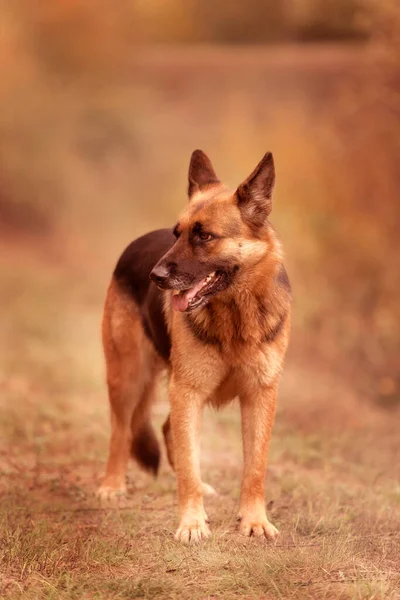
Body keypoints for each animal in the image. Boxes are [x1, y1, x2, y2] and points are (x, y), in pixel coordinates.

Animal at [97, 149, 290, 544]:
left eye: (204, 236)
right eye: (178, 234)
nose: (156, 277)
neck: (235, 315)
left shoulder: (260, 396)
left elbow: (256, 466)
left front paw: (254, 520)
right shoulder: (188, 392)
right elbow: (187, 464)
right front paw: (191, 523)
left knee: (167, 430)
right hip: (128, 378)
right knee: (122, 432)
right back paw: (112, 485)